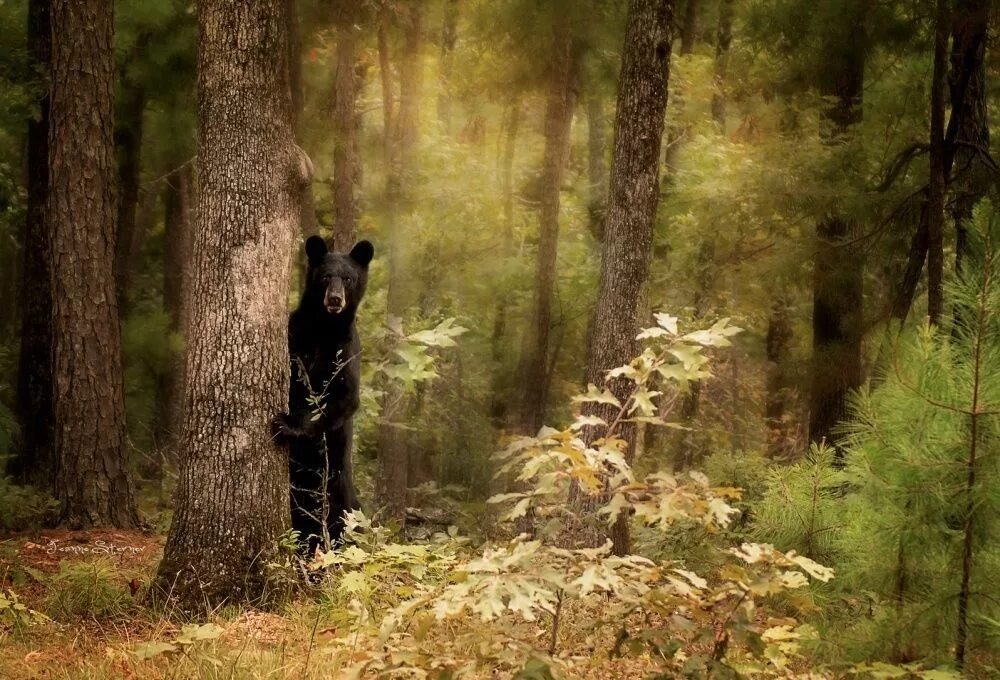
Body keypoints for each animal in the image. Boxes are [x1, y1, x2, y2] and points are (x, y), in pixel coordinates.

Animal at [272, 236, 374, 556]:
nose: (335, 299)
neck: (324, 328)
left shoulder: (346, 351)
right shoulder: (296, 335)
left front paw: (287, 423)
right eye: (326, 276)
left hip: (337, 484)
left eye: (348, 278)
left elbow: (342, 398)